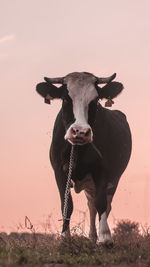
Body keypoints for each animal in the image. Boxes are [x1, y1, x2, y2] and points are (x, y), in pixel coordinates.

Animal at [36, 72, 131, 246]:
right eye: (66, 99)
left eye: (94, 100)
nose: (80, 131)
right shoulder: (59, 170)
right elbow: (67, 204)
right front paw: (65, 237)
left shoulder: (103, 170)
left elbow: (101, 203)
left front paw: (105, 237)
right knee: (91, 205)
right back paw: (92, 236)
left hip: (113, 181)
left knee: (104, 205)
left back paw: (97, 236)